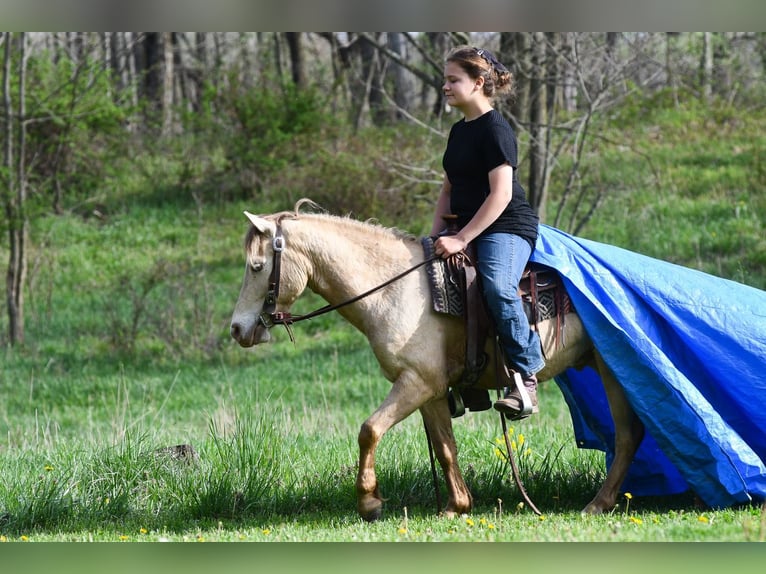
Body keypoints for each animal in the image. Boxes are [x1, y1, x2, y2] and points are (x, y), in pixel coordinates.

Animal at [229, 200, 645, 521]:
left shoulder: (416, 382)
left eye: (256, 266)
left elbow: (369, 430)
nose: (237, 329)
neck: (395, 290)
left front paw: (369, 503)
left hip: (613, 371)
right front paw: (457, 505)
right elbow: (445, 446)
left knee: (627, 434)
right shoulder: (428, 390)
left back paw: (597, 504)